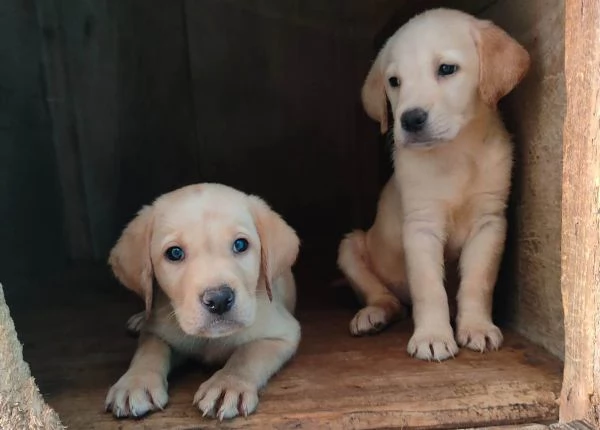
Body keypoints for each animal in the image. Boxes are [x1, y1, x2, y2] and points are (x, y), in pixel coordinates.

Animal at [105, 182, 300, 420]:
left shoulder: (282, 333)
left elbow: (248, 353)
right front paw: (135, 382)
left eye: (240, 244)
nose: (219, 299)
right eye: (174, 253)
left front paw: (228, 384)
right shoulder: (158, 331)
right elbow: (148, 351)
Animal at [338, 8, 528, 362]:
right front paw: (432, 336)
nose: (410, 119)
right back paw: (373, 315)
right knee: (389, 300)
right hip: (350, 247)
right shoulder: (421, 225)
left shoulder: (490, 223)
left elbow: (478, 282)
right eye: (394, 82)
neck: (455, 154)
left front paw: (477, 327)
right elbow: (429, 288)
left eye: (446, 69)